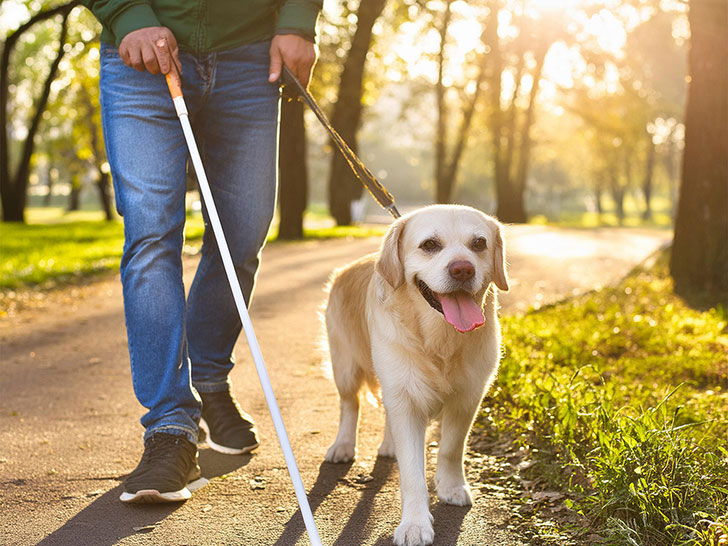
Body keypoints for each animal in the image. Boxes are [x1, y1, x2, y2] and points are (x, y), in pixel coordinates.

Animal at [324, 204, 512, 544]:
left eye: (479, 243)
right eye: (429, 245)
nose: (463, 270)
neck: (441, 338)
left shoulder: (468, 397)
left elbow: (451, 448)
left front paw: (451, 487)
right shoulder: (406, 398)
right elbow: (412, 472)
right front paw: (414, 524)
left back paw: (388, 445)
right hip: (345, 366)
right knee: (349, 405)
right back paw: (343, 446)